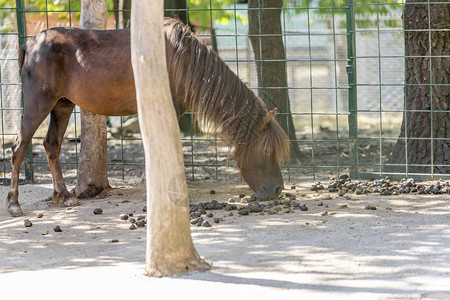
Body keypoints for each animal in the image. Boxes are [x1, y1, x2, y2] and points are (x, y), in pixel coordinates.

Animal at [7, 18, 290, 216]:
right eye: (267, 151)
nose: (277, 190)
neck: (180, 60)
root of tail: (30, 43)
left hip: (62, 105)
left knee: (51, 145)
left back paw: (64, 196)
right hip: (38, 104)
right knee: (19, 147)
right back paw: (14, 204)